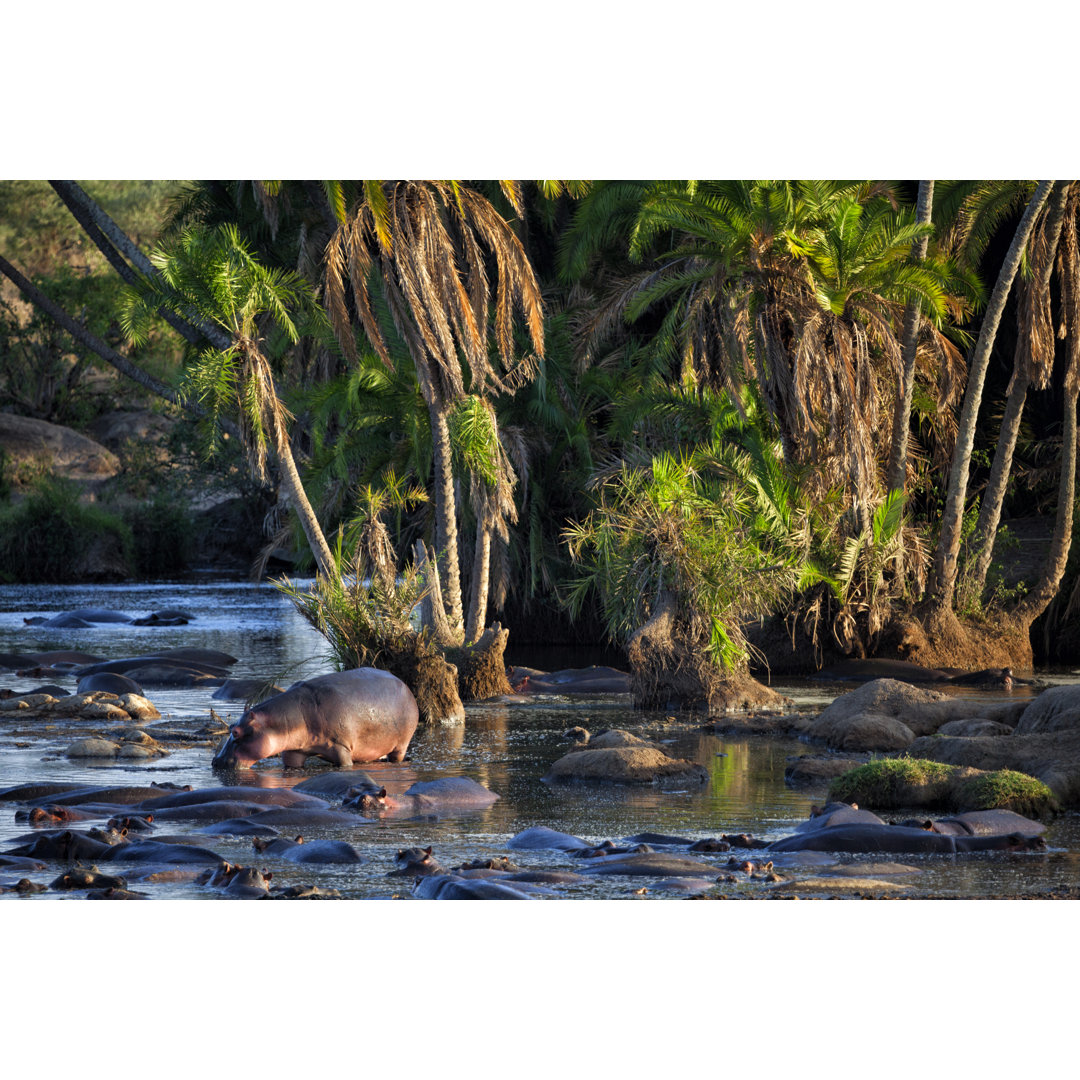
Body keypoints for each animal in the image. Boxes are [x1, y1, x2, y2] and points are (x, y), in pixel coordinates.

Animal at [209, 665, 416, 768]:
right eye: (229, 727)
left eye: (236, 732)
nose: (216, 761)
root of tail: (404, 684)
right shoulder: (293, 751)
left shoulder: (341, 746)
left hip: (401, 744)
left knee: (397, 756)